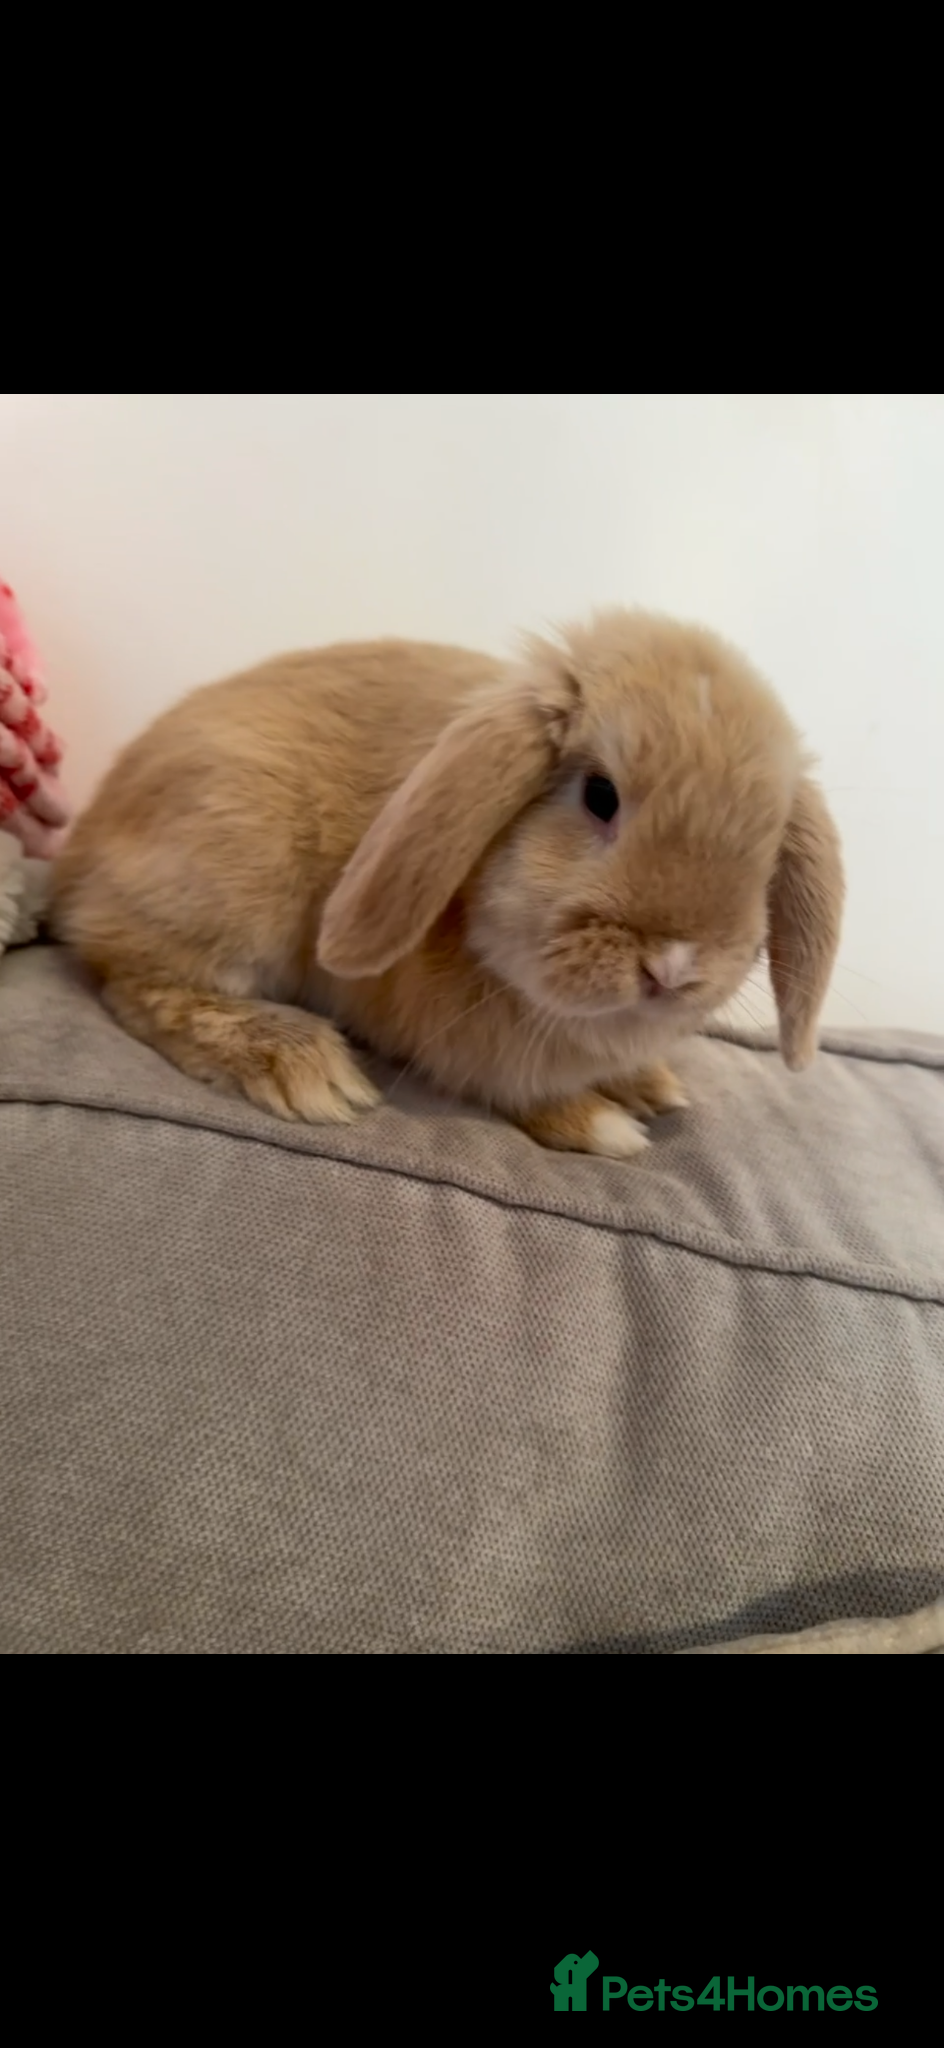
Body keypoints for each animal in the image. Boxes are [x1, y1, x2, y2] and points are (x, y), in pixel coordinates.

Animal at [52, 609, 843, 1158]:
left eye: (767, 842)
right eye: (600, 795)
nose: (674, 966)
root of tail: (82, 849)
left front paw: (650, 1087)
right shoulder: (473, 1053)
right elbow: (515, 1089)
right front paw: (604, 1125)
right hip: (237, 872)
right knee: (133, 981)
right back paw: (299, 1063)